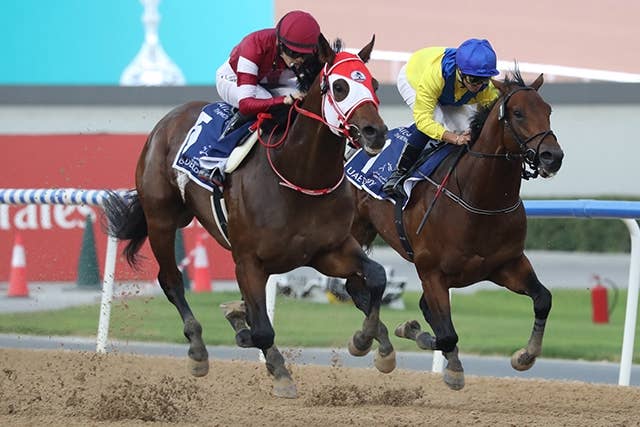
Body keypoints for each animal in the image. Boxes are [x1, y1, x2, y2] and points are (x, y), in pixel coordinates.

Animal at [102, 34, 396, 398]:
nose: (375, 133)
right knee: (171, 281)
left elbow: (377, 276)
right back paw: (197, 348)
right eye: (339, 86)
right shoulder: (248, 261)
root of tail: (167, 120)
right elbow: (263, 331)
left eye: (374, 84)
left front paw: (369, 342)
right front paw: (279, 372)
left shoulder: (330, 251)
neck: (299, 176)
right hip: (161, 220)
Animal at [349, 70, 564, 390]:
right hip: (353, 231)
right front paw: (416, 336)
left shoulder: (507, 265)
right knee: (354, 287)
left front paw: (525, 355)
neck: (480, 200)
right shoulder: (431, 272)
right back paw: (373, 343)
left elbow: (543, 299)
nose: (553, 156)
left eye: (548, 110)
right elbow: (447, 333)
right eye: (518, 113)